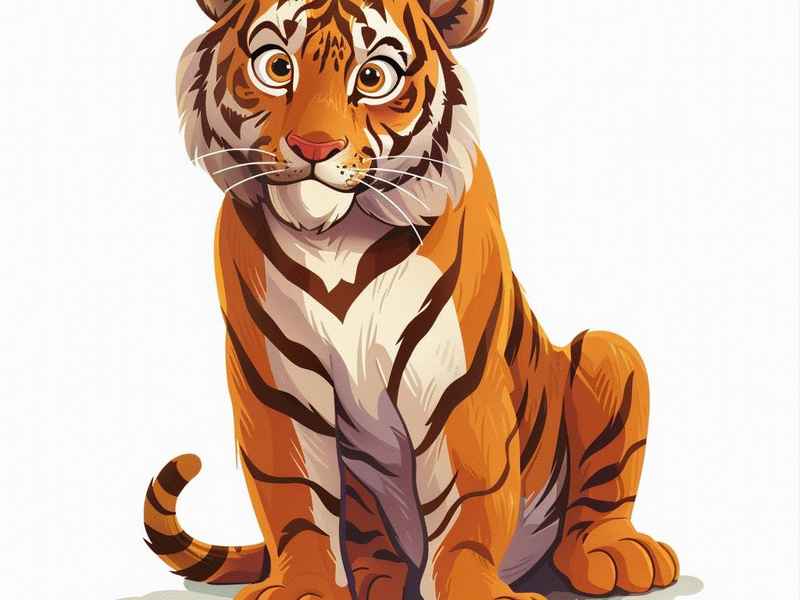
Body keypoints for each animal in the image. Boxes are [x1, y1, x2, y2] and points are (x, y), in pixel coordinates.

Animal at [142, 1, 681, 599]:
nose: (313, 148)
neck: (335, 238)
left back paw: (614, 553)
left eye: (374, 77)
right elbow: (295, 494)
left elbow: (472, 495)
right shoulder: (274, 382)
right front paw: (304, 586)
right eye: (277, 67)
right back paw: (378, 578)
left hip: (612, 354)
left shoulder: (456, 379)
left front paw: (472, 588)